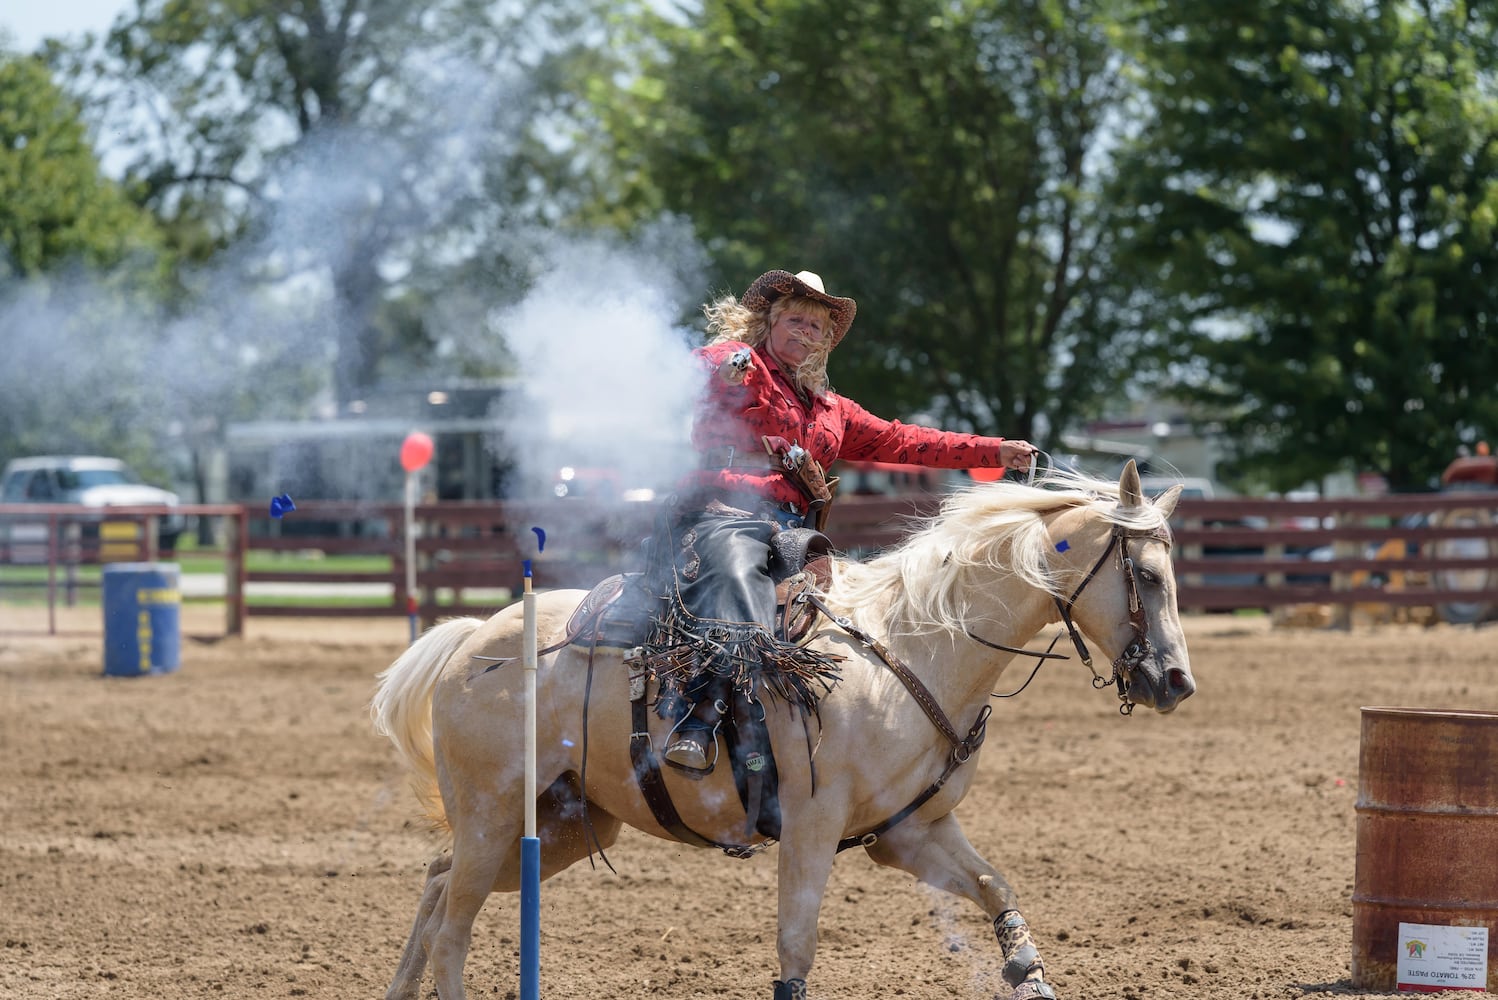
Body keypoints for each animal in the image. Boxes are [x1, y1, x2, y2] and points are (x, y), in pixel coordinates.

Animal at [371, 461, 1192, 999]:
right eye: (1148, 576)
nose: (1177, 683)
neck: (916, 644)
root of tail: (476, 638)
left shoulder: (911, 832)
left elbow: (996, 886)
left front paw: (1029, 974)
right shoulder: (809, 828)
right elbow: (796, 949)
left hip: (565, 826)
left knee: (437, 882)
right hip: (494, 815)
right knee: (452, 928)